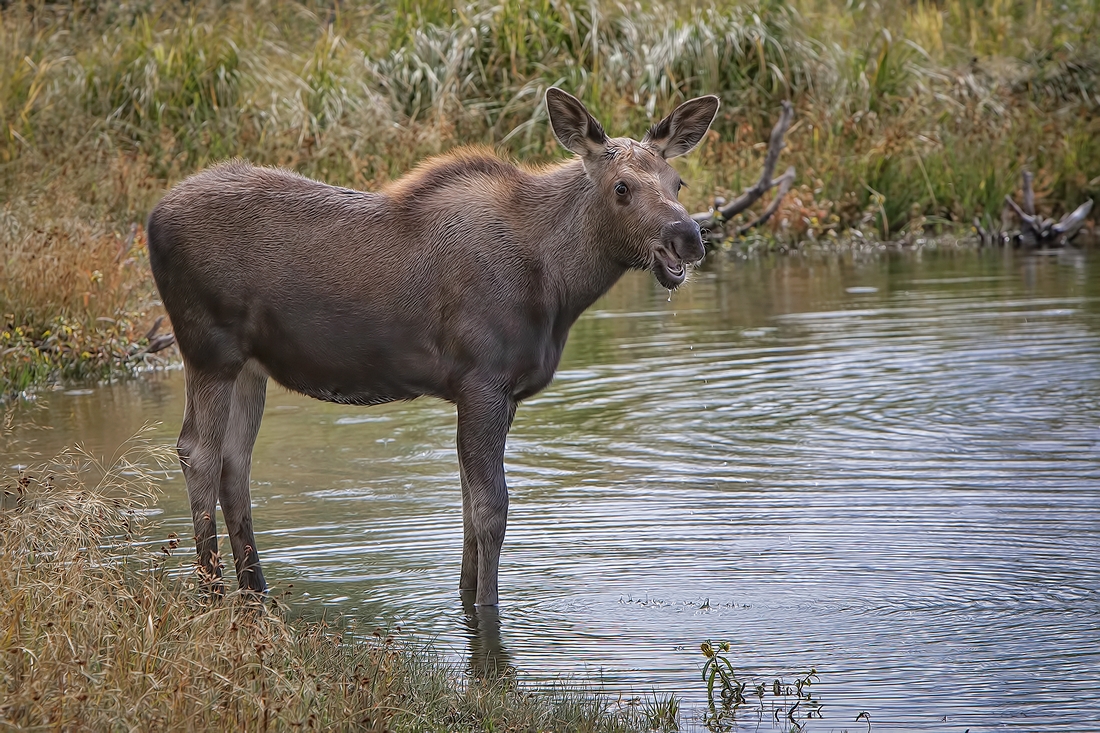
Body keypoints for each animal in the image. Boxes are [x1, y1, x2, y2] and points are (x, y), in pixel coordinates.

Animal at [148, 86, 721, 603]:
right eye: (622, 187)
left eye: (678, 181)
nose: (688, 238)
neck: (558, 284)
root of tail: (152, 219)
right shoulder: (483, 380)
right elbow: (492, 509)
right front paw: (486, 612)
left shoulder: (497, 394)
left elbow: (468, 506)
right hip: (208, 350)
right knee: (198, 452)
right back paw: (210, 593)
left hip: (251, 365)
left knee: (235, 462)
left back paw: (255, 591)